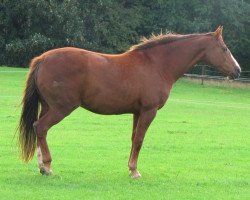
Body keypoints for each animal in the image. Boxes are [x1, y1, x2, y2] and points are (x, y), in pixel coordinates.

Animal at [18, 26, 240, 178]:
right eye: (224, 48)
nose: (237, 71)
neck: (157, 64)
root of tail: (43, 59)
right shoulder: (149, 111)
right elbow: (140, 140)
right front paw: (134, 171)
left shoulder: (137, 112)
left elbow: (134, 139)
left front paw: (130, 168)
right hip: (61, 108)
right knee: (41, 127)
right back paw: (47, 167)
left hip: (48, 106)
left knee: (40, 130)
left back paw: (41, 166)